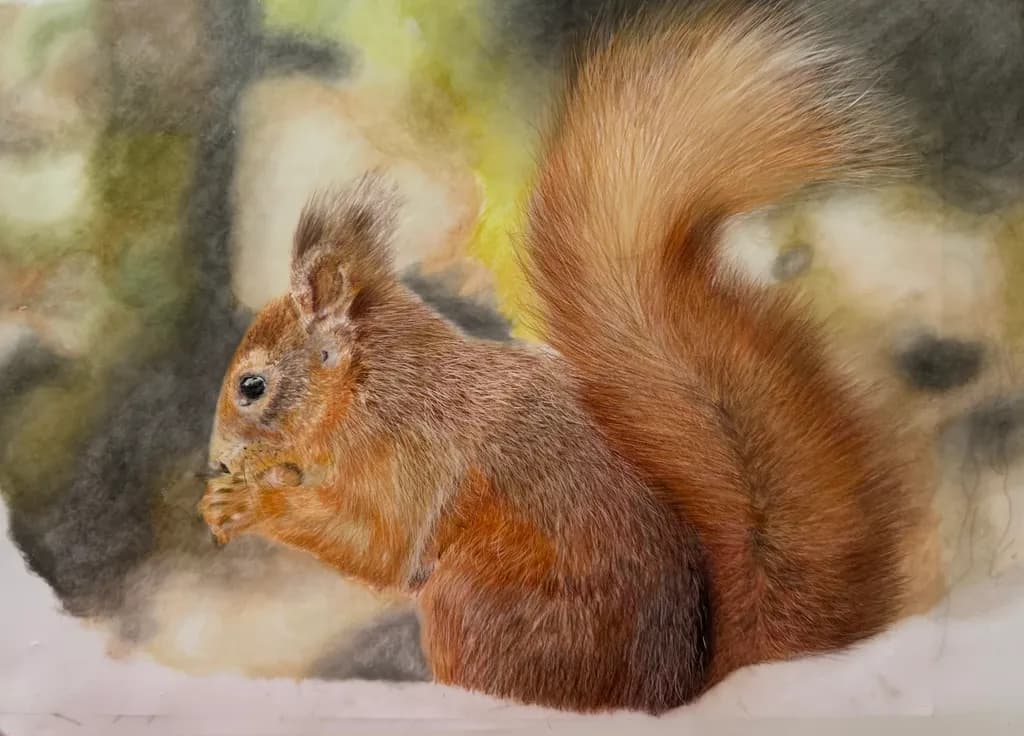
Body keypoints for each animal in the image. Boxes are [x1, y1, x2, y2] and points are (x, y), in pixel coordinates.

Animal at [200, 1, 914, 714]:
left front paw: (249, 503)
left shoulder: (414, 460)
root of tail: (665, 696)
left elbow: (380, 548)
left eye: (252, 385)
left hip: (472, 602)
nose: (219, 461)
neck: (373, 389)